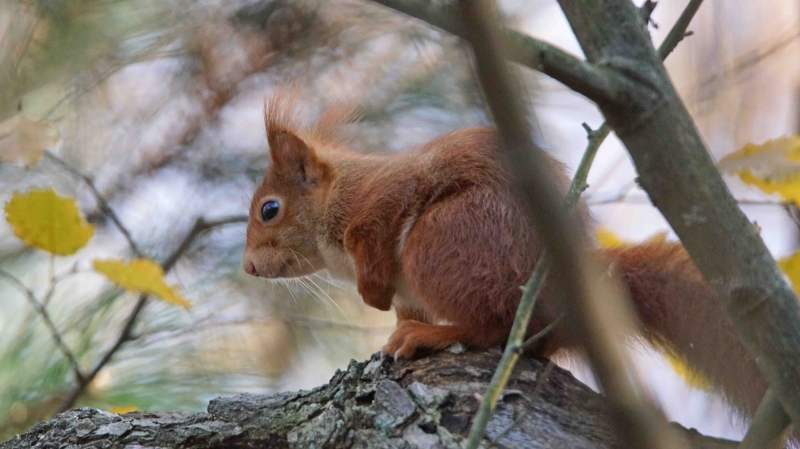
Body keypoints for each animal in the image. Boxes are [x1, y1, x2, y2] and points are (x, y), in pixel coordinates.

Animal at [242, 90, 768, 416]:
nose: (247, 267)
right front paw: (387, 326)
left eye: (270, 209)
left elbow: (378, 233)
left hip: (442, 241)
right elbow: (402, 305)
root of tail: (569, 295)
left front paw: (372, 294)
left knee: (492, 326)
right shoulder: (407, 288)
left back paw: (431, 334)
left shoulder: (382, 199)